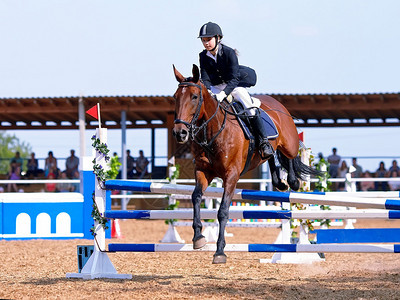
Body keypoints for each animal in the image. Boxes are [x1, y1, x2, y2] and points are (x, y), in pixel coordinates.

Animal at [172, 64, 318, 264]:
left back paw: (293, 182)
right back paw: (279, 181)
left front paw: (219, 252)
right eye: (175, 97)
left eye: (194, 96)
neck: (213, 131)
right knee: (270, 154)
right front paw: (198, 238)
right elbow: (196, 197)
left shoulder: (231, 176)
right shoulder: (202, 171)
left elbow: (223, 211)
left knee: (290, 155)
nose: (179, 133)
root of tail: (277, 104)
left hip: (289, 143)